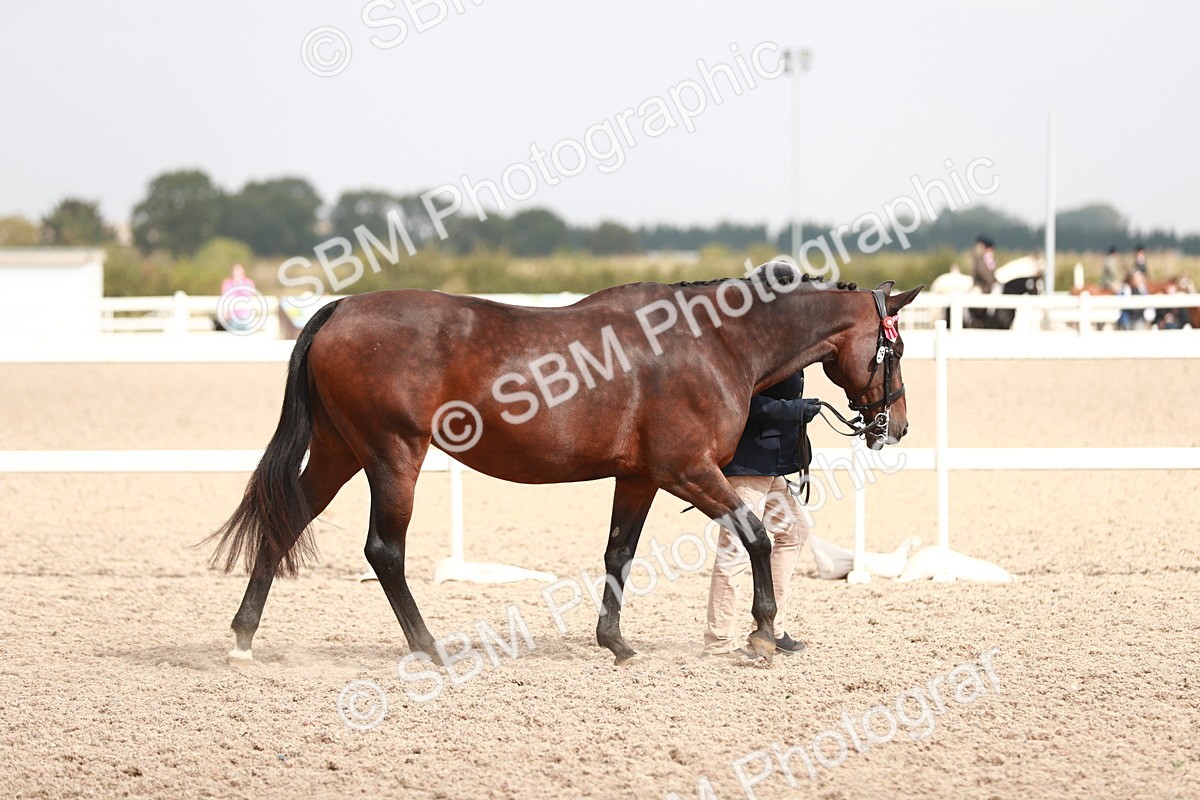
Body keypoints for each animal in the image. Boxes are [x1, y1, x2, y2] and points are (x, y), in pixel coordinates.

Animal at [208, 264, 923, 666]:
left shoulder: (639, 478)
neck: (713, 342)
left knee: (285, 521)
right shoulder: (688, 471)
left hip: (338, 451)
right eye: (895, 347)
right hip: (392, 455)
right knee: (384, 550)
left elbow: (619, 553)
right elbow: (754, 536)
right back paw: (429, 648)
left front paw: (615, 642)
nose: (897, 426)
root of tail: (341, 308)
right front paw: (763, 634)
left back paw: (243, 640)